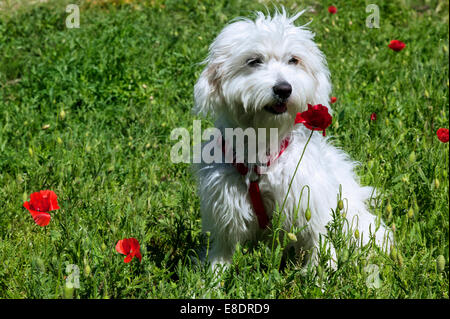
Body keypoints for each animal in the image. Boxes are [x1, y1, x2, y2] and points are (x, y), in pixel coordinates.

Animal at [192, 8, 392, 268]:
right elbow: (223, 250)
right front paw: (213, 276)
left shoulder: (309, 202)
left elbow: (319, 243)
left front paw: (320, 276)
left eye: (293, 60)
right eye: (253, 61)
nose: (283, 89)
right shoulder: (227, 208)